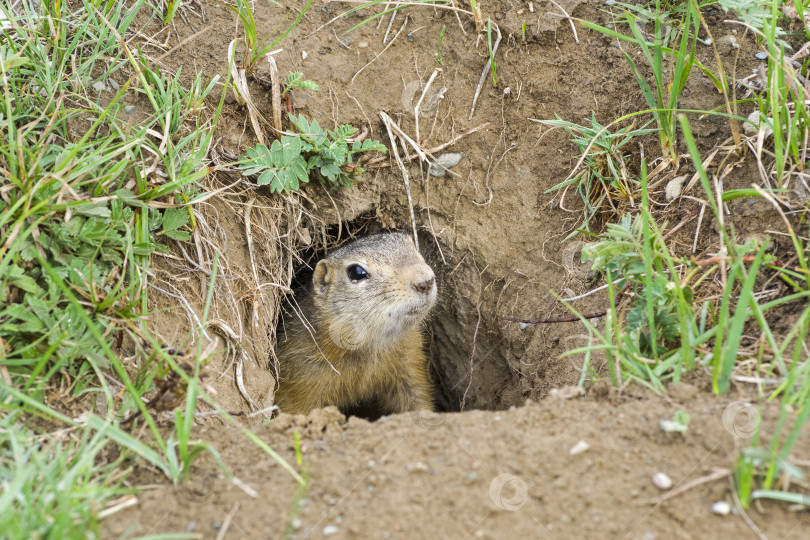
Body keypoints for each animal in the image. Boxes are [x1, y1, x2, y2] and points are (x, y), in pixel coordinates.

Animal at [272, 233, 436, 418]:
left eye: (412, 244)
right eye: (356, 272)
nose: (426, 281)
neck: (370, 347)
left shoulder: (409, 363)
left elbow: (417, 398)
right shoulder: (298, 380)